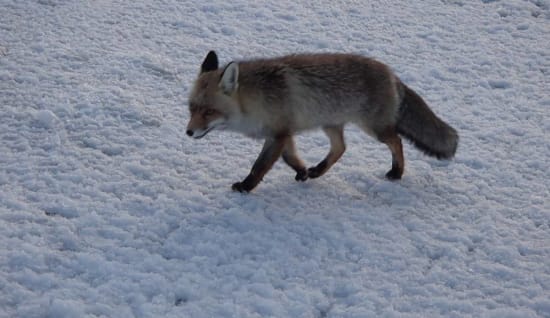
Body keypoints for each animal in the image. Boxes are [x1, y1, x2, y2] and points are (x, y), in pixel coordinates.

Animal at [188, 51, 460, 193]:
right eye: (191, 108)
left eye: (209, 111)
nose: (189, 132)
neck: (257, 100)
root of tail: (392, 74)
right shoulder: (283, 134)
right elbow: (291, 159)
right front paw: (303, 172)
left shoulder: (278, 135)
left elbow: (259, 166)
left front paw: (246, 187)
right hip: (330, 124)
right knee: (341, 148)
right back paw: (318, 170)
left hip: (374, 129)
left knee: (397, 141)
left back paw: (397, 172)